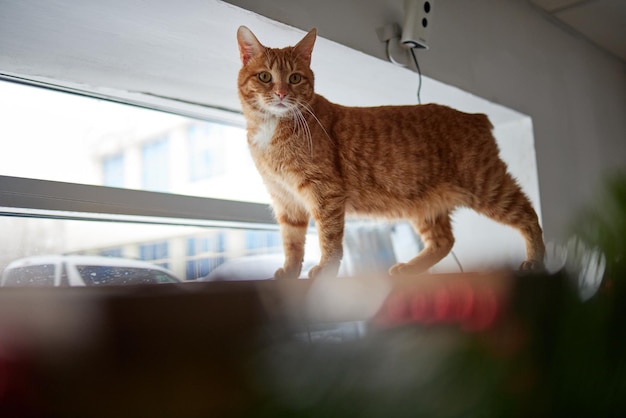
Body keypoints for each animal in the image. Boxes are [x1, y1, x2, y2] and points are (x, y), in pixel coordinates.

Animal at [234, 27, 540, 280]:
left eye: (295, 78)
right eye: (265, 77)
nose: (281, 93)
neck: (271, 130)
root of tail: (476, 116)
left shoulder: (325, 192)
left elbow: (329, 238)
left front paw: (325, 269)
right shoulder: (285, 199)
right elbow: (292, 241)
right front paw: (289, 271)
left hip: (488, 187)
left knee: (529, 215)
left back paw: (536, 260)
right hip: (425, 207)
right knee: (444, 241)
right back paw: (409, 269)